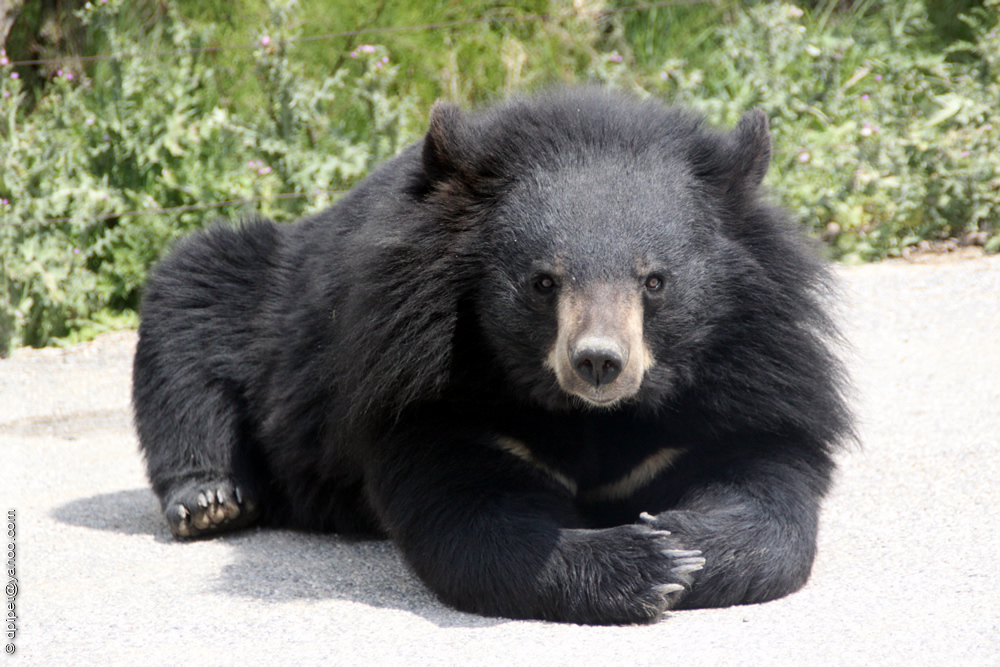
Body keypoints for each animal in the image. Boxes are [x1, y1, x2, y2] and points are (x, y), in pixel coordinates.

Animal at [133, 88, 852, 628]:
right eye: (543, 282)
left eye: (654, 281)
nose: (599, 363)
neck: (590, 414)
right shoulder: (429, 393)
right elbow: (470, 517)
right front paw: (644, 564)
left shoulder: (743, 371)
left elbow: (765, 482)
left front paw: (682, 540)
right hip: (263, 301)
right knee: (191, 300)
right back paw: (210, 499)